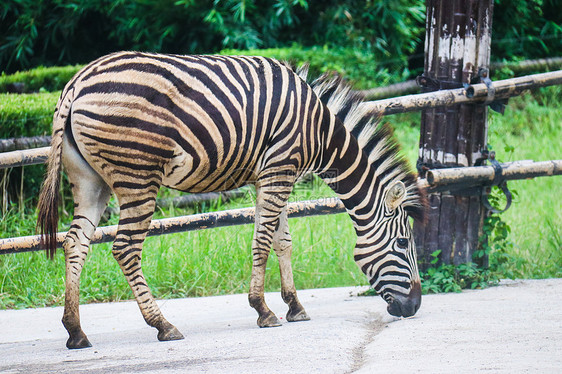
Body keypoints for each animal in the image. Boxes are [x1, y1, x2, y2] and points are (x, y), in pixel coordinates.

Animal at [38, 51, 424, 350]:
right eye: (403, 244)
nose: (415, 307)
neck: (322, 132)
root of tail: (77, 82)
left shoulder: (270, 175)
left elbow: (283, 240)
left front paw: (295, 306)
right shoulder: (280, 168)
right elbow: (263, 239)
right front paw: (263, 310)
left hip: (91, 181)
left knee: (75, 242)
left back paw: (75, 330)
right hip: (138, 176)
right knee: (125, 248)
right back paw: (163, 325)